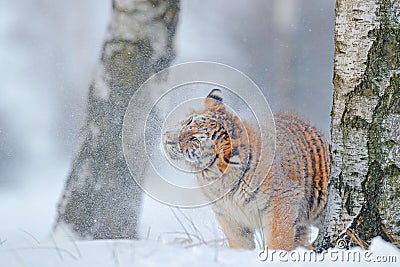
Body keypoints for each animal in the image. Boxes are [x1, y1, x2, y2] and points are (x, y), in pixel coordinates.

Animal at [162, 89, 328, 251]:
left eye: (194, 140)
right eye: (188, 122)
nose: (167, 138)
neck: (219, 181)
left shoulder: (280, 206)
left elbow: (278, 240)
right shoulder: (230, 218)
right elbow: (240, 245)